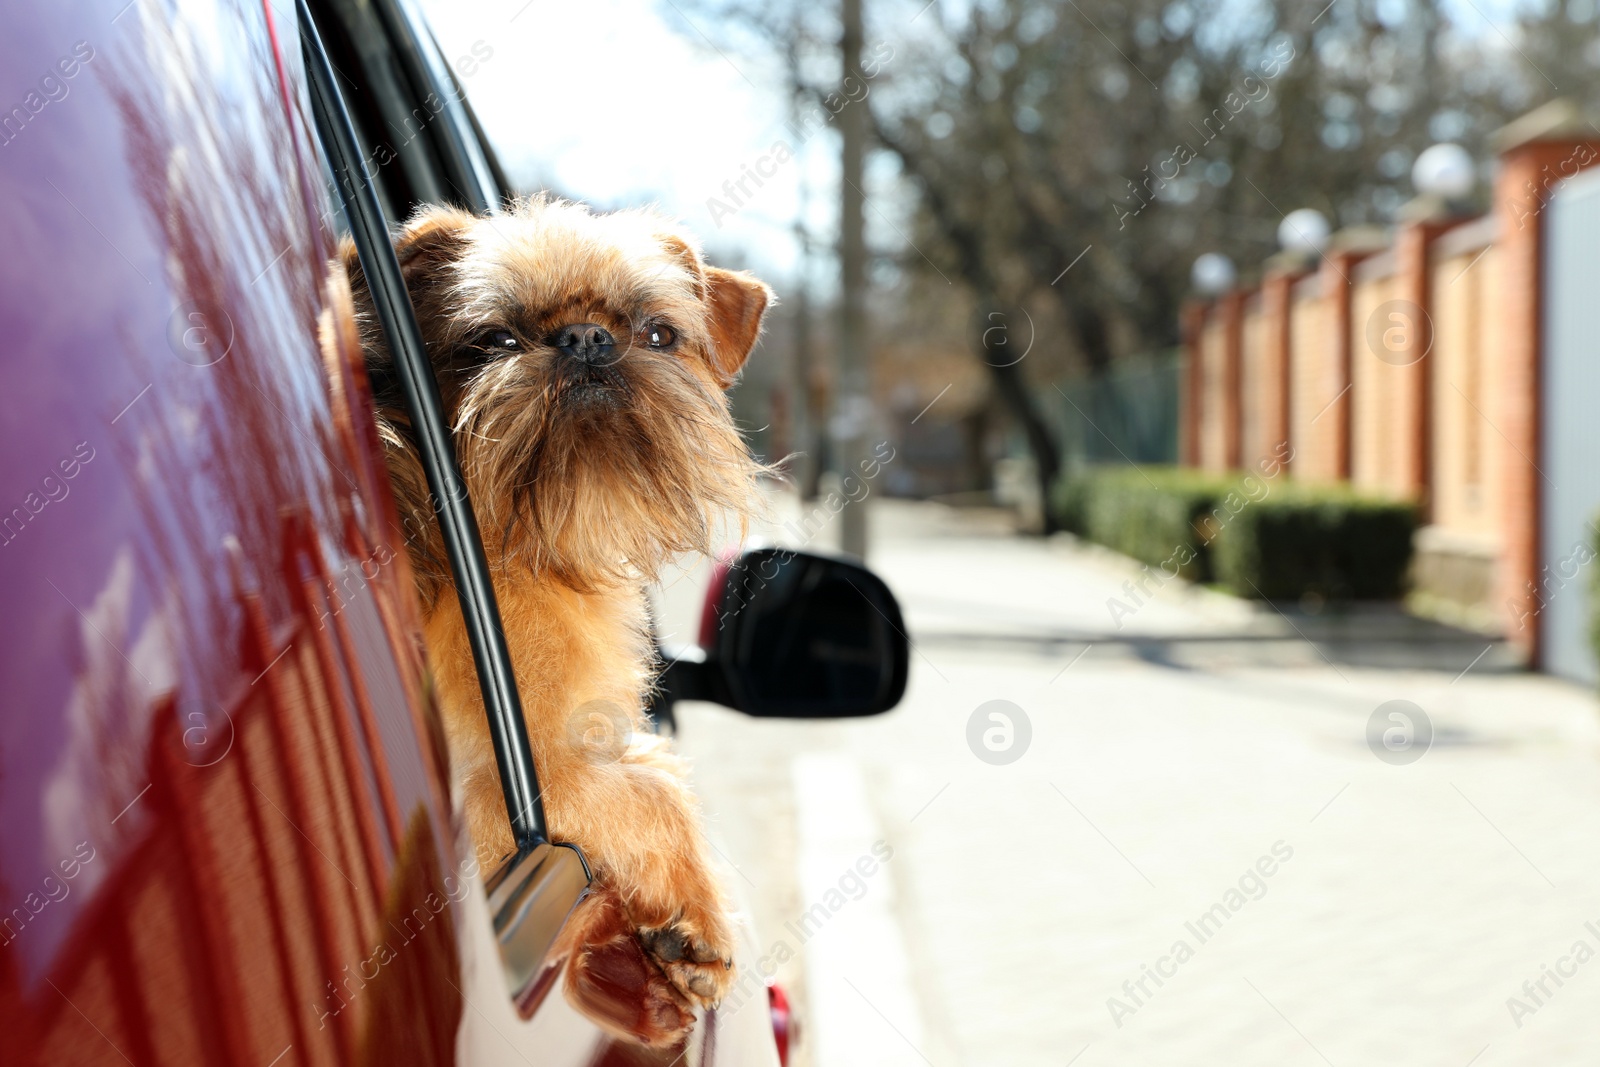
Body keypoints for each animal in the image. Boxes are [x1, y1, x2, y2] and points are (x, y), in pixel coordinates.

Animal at [342, 194, 774, 1043]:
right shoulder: (508, 786)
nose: (584, 338)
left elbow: (652, 764)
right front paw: (702, 917)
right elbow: (653, 788)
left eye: (658, 333)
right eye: (496, 340)